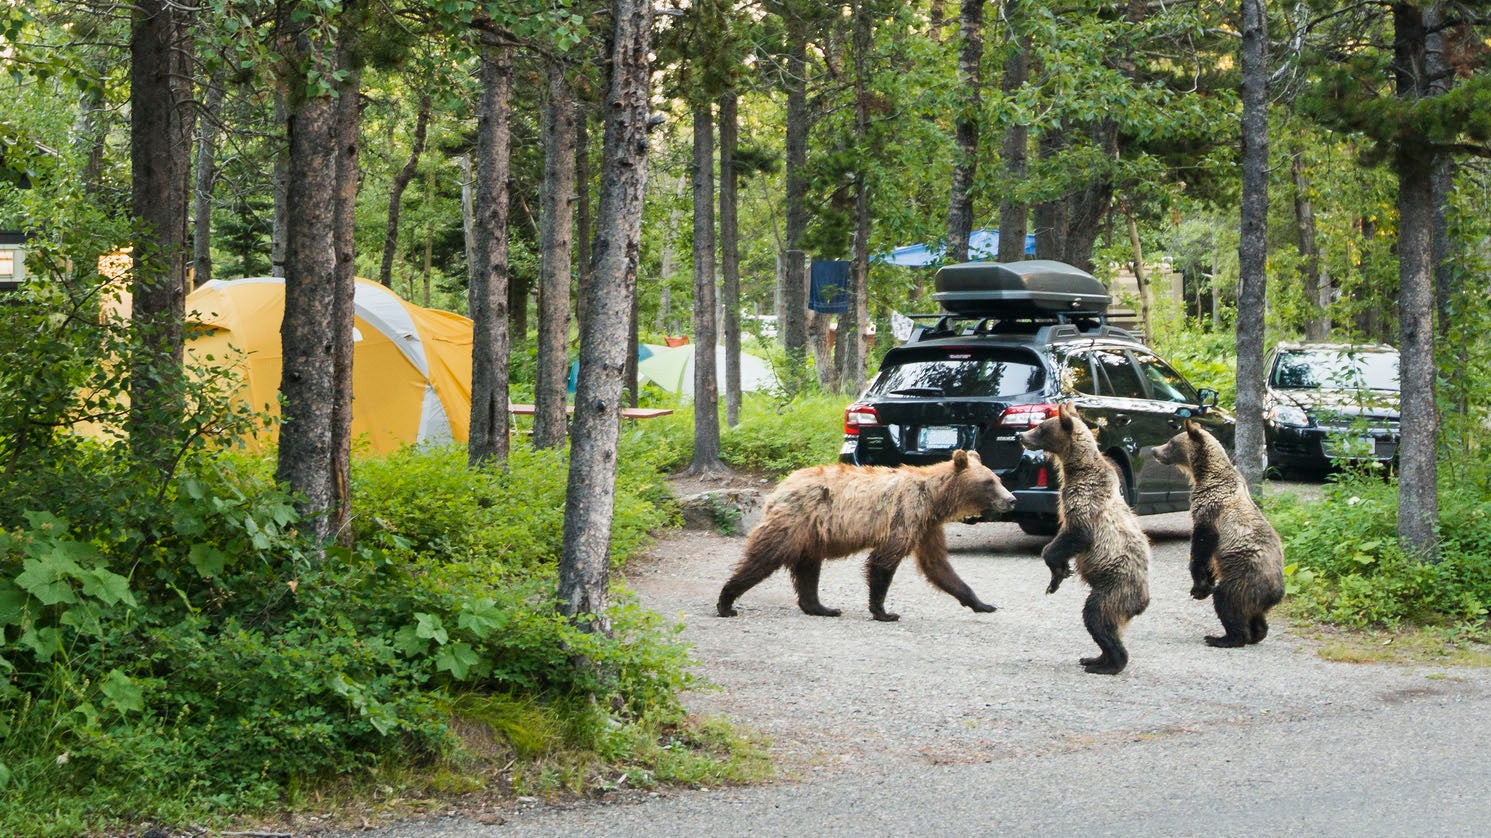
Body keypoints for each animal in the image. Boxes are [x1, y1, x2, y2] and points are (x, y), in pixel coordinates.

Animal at [715, 450, 1019, 620]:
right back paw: (727, 602)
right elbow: (883, 562)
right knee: (765, 556)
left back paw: (821, 607)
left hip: (812, 533)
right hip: (794, 521)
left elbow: (938, 566)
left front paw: (983, 603)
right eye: (989, 482)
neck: (935, 500)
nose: (1012, 500)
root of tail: (780, 488)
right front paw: (884, 611)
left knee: (808, 568)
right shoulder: (904, 516)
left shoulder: (927, 527)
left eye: (999, 479)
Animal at [1019, 399, 1145, 670]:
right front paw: (1058, 575)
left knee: (1097, 616)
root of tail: (1144, 601)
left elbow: (1077, 534)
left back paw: (1107, 663)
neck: (1076, 469)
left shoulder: (1085, 499)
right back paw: (1095, 657)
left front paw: (1057, 570)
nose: (1021, 435)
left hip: (1115, 586)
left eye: (1041, 427)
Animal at [1145, 417, 1288, 647]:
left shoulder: (1210, 509)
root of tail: (1277, 592)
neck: (1205, 475)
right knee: (1254, 612)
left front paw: (1199, 587)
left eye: (1171, 442)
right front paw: (1203, 584)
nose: (1154, 450)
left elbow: (1202, 544)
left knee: (1226, 600)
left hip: (1244, 576)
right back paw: (1257, 633)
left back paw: (1224, 637)